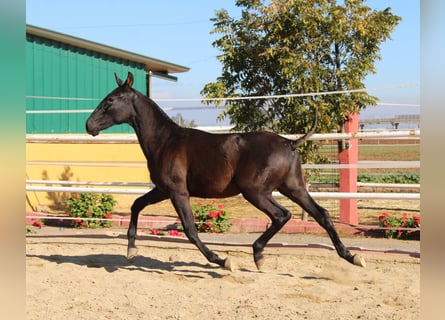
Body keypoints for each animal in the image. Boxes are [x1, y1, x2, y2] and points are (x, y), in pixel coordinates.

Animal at [86, 72, 364, 270]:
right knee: (322, 214)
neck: (166, 141)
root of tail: (289, 142)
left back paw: (258, 254)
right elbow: (136, 205)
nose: (89, 125)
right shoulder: (163, 190)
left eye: (110, 100)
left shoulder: (178, 192)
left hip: (256, 192)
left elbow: (190, 229)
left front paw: (222, 260)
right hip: (293, 188)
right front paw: (130, 250)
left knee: (282, 215)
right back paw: (351, 256)